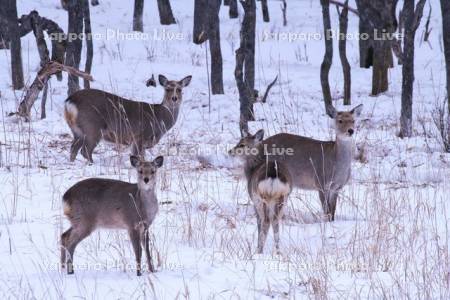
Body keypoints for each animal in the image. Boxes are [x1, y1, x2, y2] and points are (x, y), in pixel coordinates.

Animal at [230, 104, 364, 221]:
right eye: (340, 120)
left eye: (353, 120)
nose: (350, 130)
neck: (337, 165)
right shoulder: (321, 182)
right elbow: (327, 211)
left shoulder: (337, 187)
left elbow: (333, 211)